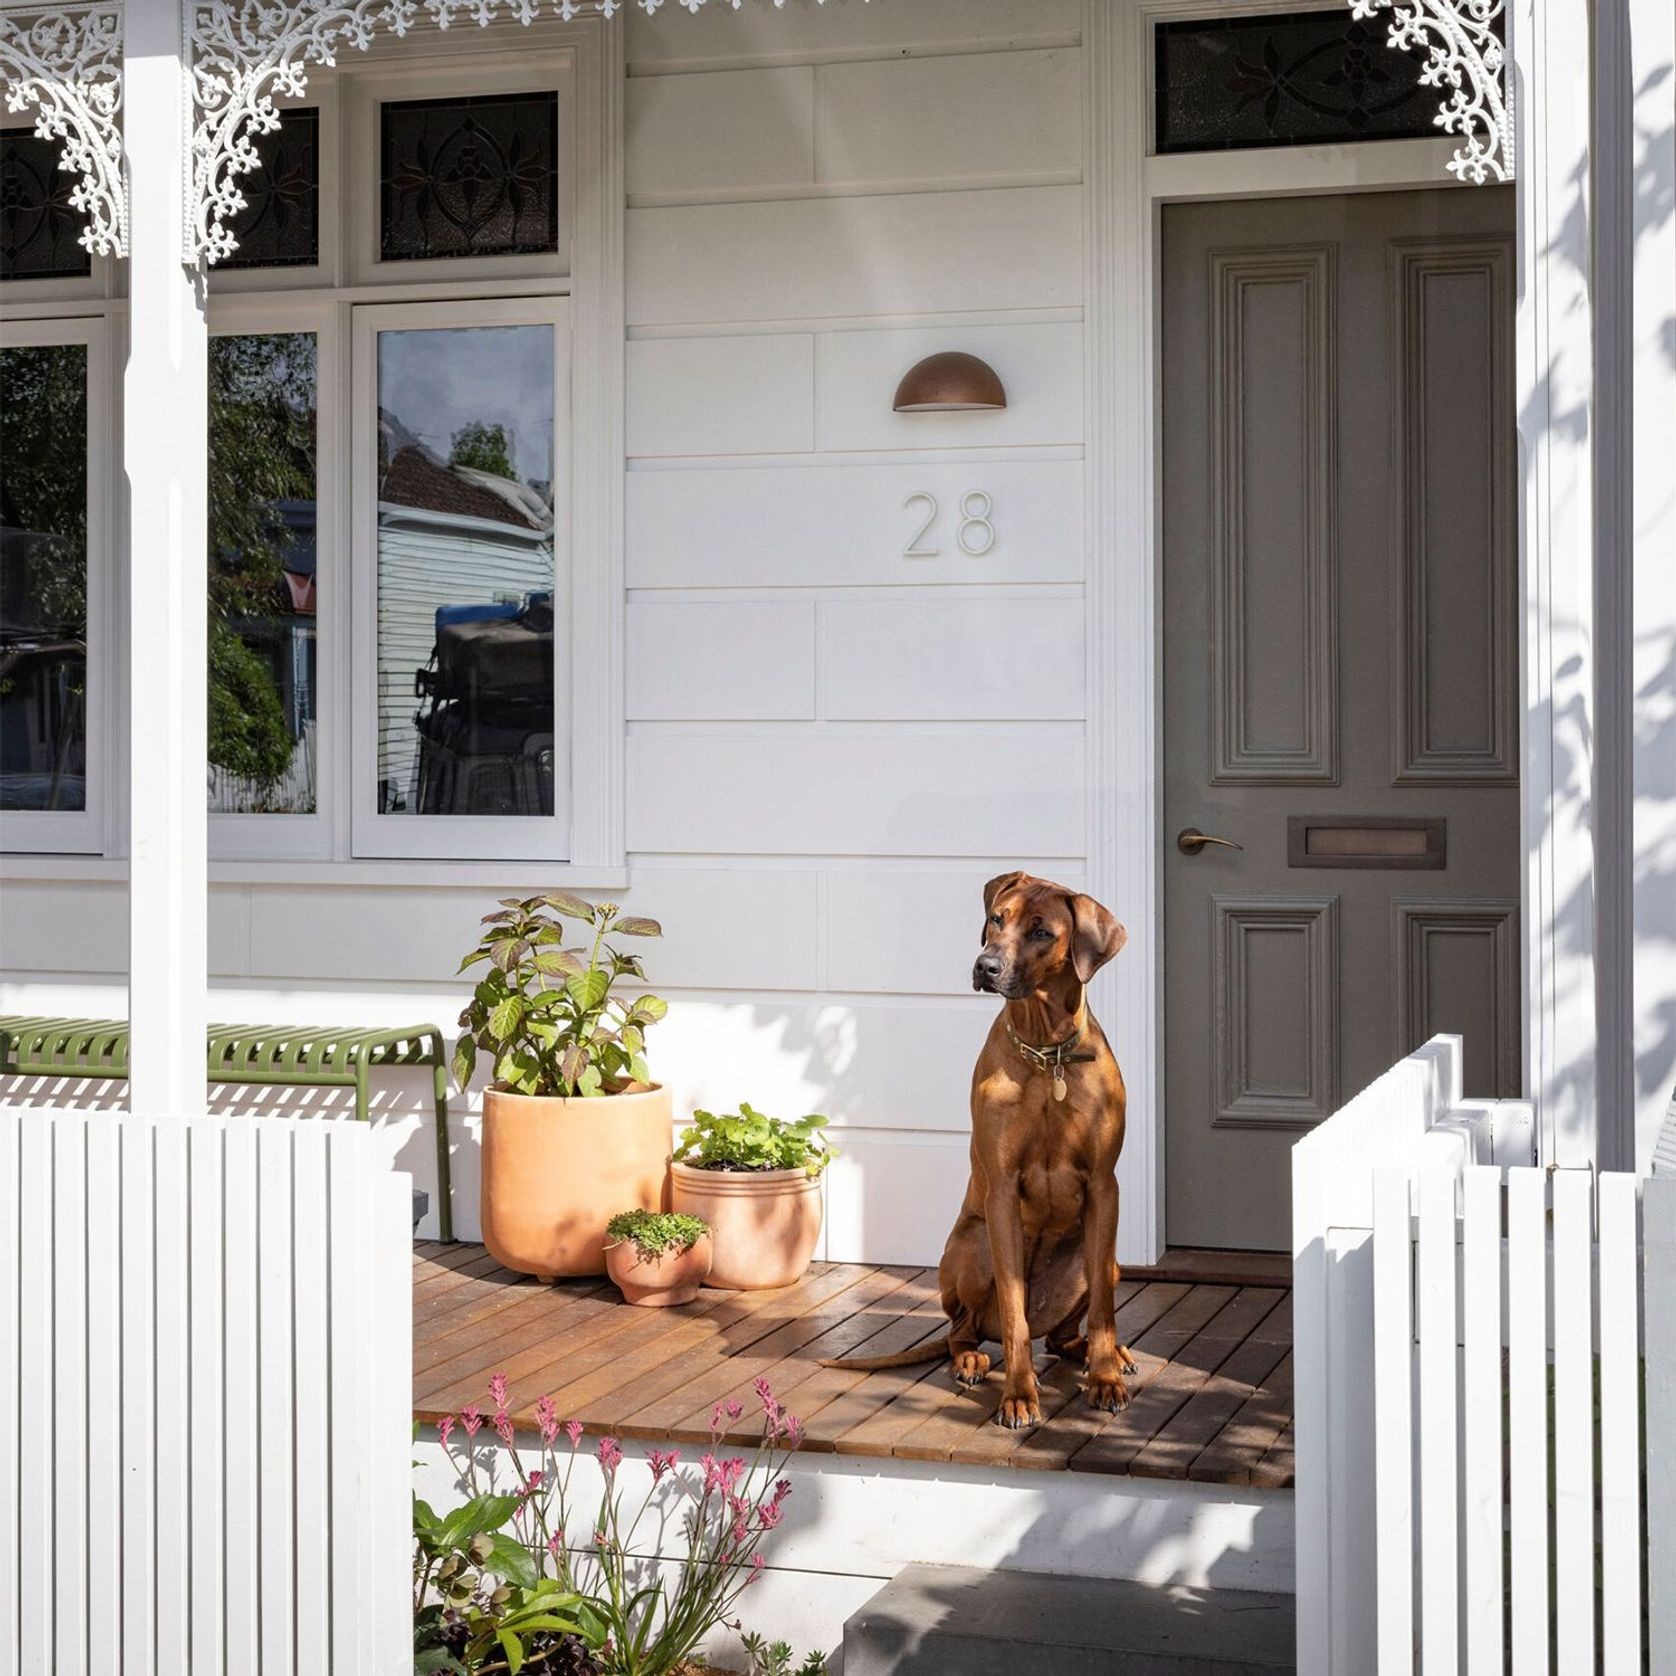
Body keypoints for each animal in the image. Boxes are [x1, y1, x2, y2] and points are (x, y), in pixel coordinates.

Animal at [827, 871, 1139, 1434]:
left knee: (1063, 1336)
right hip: (972, 1247)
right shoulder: (1002, 1191)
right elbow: (1014, 1315)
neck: (1046, 1052)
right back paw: (972, 1358)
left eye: (1042, 931)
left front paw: (1105, 1379)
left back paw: (1104, 1354)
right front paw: (1018, 1396)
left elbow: (1105, 1311)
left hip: (1104, 1260)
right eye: (997, 918)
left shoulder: (1106, 1185)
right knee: (966, 1329)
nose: (985, 966)